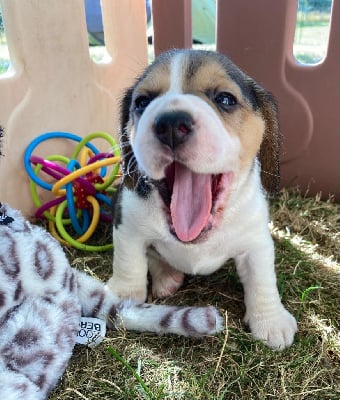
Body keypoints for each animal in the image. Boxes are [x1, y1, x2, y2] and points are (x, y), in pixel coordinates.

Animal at [107, 49, 296, 350]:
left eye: (225, 99)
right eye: (142, 102)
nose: (171, 124)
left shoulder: (257, 240)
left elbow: (262, 277)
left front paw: (271, 320)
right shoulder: (127, 224)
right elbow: (129, 260)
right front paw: (123, 295)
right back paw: (166, 276)